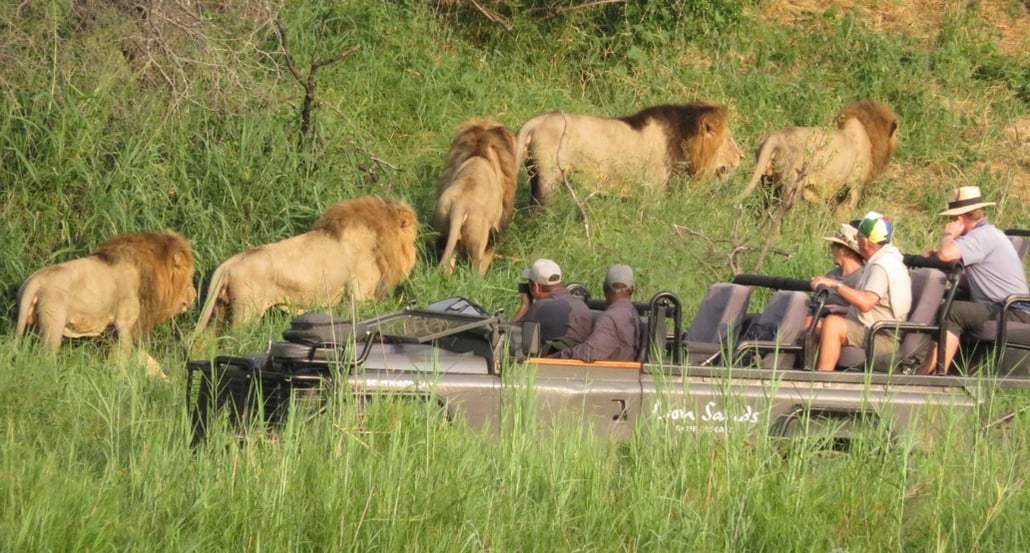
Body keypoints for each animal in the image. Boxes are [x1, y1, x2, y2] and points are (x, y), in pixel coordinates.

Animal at [16, 228, 196, 374]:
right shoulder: (126, 324)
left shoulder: (114, 330)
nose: (194, 296)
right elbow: (123, 357)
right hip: (53, 325)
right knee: (45, 356)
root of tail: (35, 280)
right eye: (189, 278)